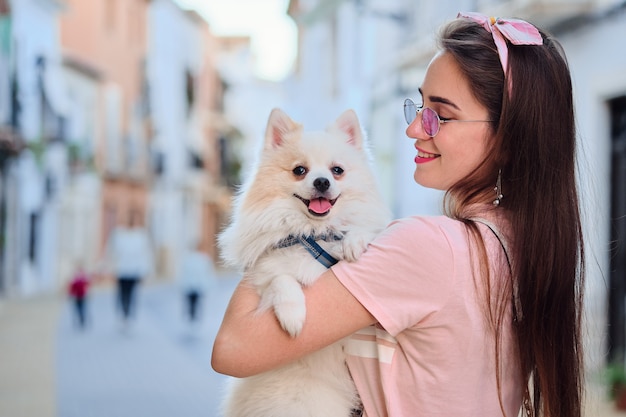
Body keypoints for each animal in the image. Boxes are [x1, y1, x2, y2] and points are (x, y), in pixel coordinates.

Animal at [217, 108, 388, 416]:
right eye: (299, 170)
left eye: (337, 170)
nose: (322, 182)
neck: (315, 234)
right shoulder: (262, 273)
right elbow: (281, 279)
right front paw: (292, 315)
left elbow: (363, 230)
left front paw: (353, 241)